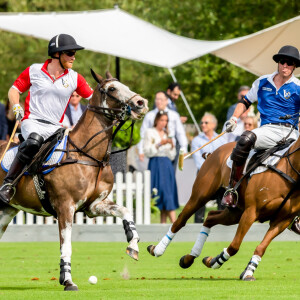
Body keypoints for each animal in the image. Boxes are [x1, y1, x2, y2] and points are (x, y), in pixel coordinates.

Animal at [0, 71, 148, 290]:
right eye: (112, 89)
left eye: (125, 85)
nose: (141, 102)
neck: (89, 156)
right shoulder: (65, 206)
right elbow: (66, 246)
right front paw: (68, 280)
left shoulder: (94, 205)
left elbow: (125, 211)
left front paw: (133, 245)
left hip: (7, 209)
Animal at [148, 137, 300, 282]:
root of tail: (214, 152)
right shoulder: (251, 212)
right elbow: (235, 246)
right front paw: (216, 261)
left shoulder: (282, 220)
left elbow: (261, 248)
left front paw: (247, 272)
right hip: (200, 195)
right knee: (181, 220)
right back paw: (158, 249)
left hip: (235, 212)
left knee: (210, 217)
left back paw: (189, 258)